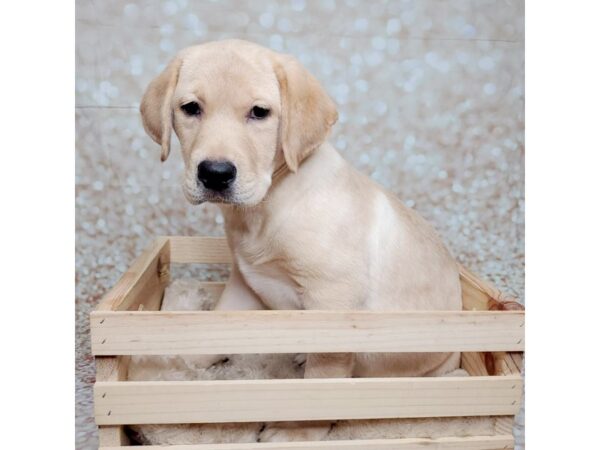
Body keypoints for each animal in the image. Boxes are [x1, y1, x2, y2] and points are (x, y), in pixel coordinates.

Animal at [139, 39, 460, 442]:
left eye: (259, 113)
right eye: (191, 108)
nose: (215, 173)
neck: (270, 202)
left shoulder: (332, 299)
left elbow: (321, 380)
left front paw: (300, 429)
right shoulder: (245, 281)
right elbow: (219, 324)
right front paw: (185, 358)